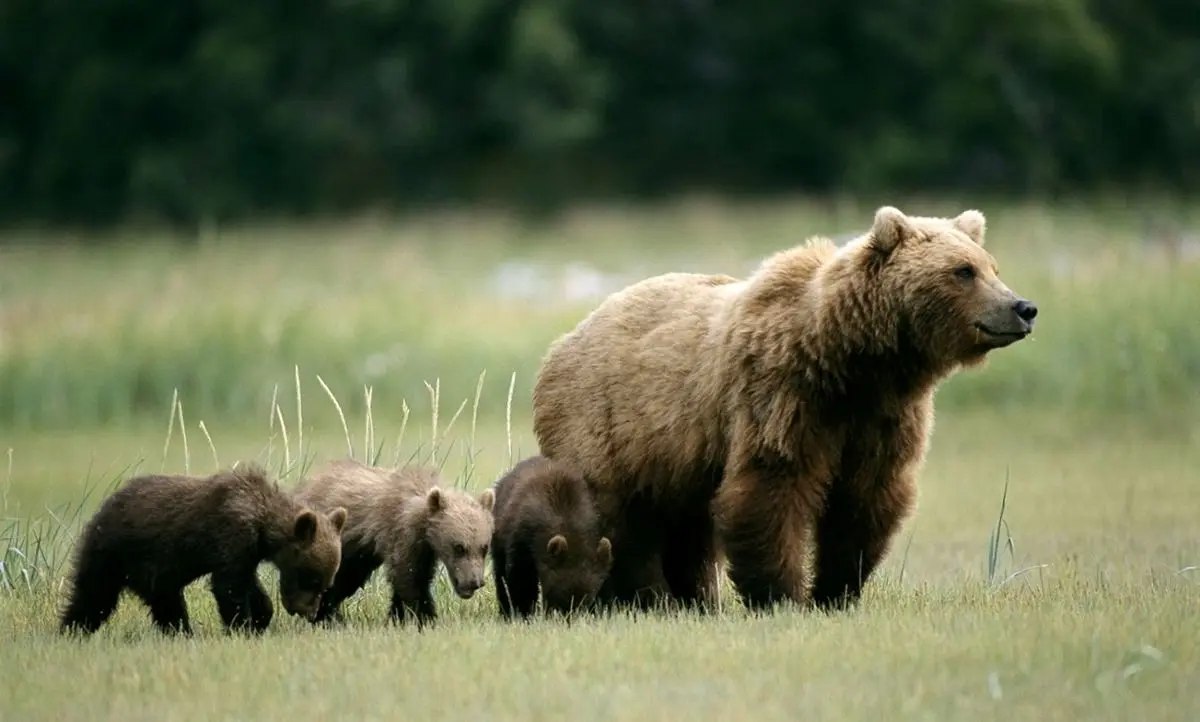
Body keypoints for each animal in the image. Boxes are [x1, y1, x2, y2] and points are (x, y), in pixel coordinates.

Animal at [530, 205, 1036, 609]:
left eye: (991, 266)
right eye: (962, 271)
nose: (1022, 307)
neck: (853, 362)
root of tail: (563, 341)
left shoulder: (882, 419)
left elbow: (866, 500)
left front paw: (837, 591)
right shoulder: (782, 396)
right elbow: (773, 488)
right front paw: (781, 594)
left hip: (676, 457)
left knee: (685, 529)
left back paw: (692, 599)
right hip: (609, 427)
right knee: (618, 520)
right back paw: (642, 596)